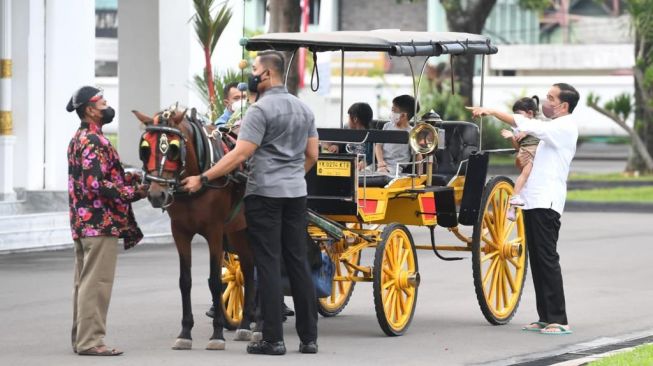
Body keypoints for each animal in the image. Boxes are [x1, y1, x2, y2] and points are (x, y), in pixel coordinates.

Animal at [132, 107, 255, 350]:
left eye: (173, 149)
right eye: (145, 148)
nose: (156, 194)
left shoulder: (215, 231)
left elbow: (214, 281)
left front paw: (217, 333)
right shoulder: (180, 232)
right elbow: (185, 281)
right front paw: (185, 332)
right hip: (237, 231)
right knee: (247, 269)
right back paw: (246, 322)